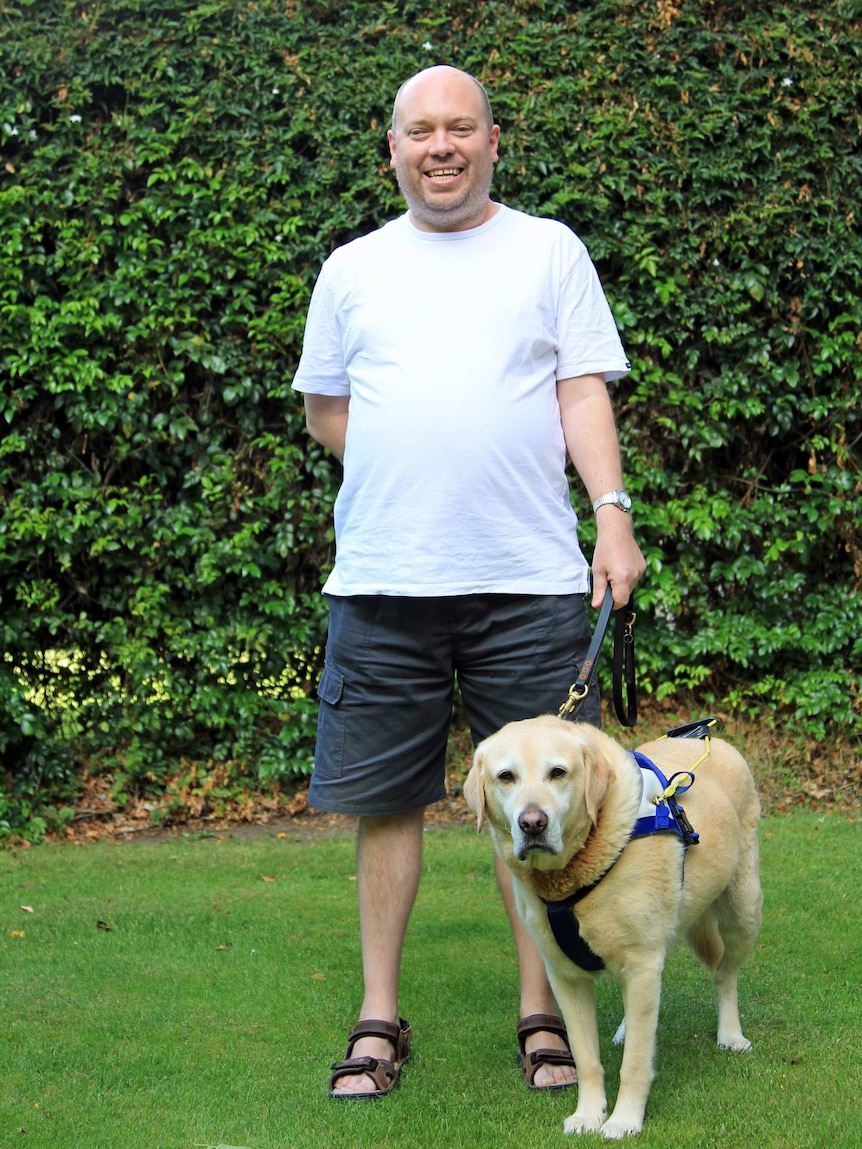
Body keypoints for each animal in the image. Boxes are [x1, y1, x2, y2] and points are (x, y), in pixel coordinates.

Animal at [466, 716, 763, 1139]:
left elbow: (635, 1064)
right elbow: (587, 1058)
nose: (532, 824)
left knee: (725, 974)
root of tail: (710, 738)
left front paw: (624, 1120)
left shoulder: (641, 963)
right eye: (506, 776)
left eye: (558, 773)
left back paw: (730, 1034)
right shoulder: (566, 977)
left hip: (744, 911)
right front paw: (589, 1114)